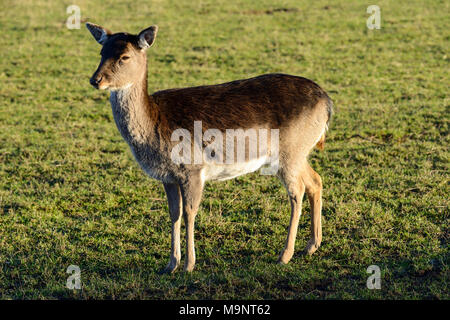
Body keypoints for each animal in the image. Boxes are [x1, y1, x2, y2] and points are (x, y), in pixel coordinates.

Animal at [87, 23, 334, 272]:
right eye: (101, 52)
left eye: (125, 56)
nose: (96, 80)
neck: (154, 124)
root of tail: (328, 103)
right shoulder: (168, 177)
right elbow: (174, 213)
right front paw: (170, 265)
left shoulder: (193, 169)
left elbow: (190, 212)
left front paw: (188, 265)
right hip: (297, 153)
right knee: (315, 180)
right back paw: (311, 246)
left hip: (289, 152)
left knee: (297, 191)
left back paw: (285, 255)